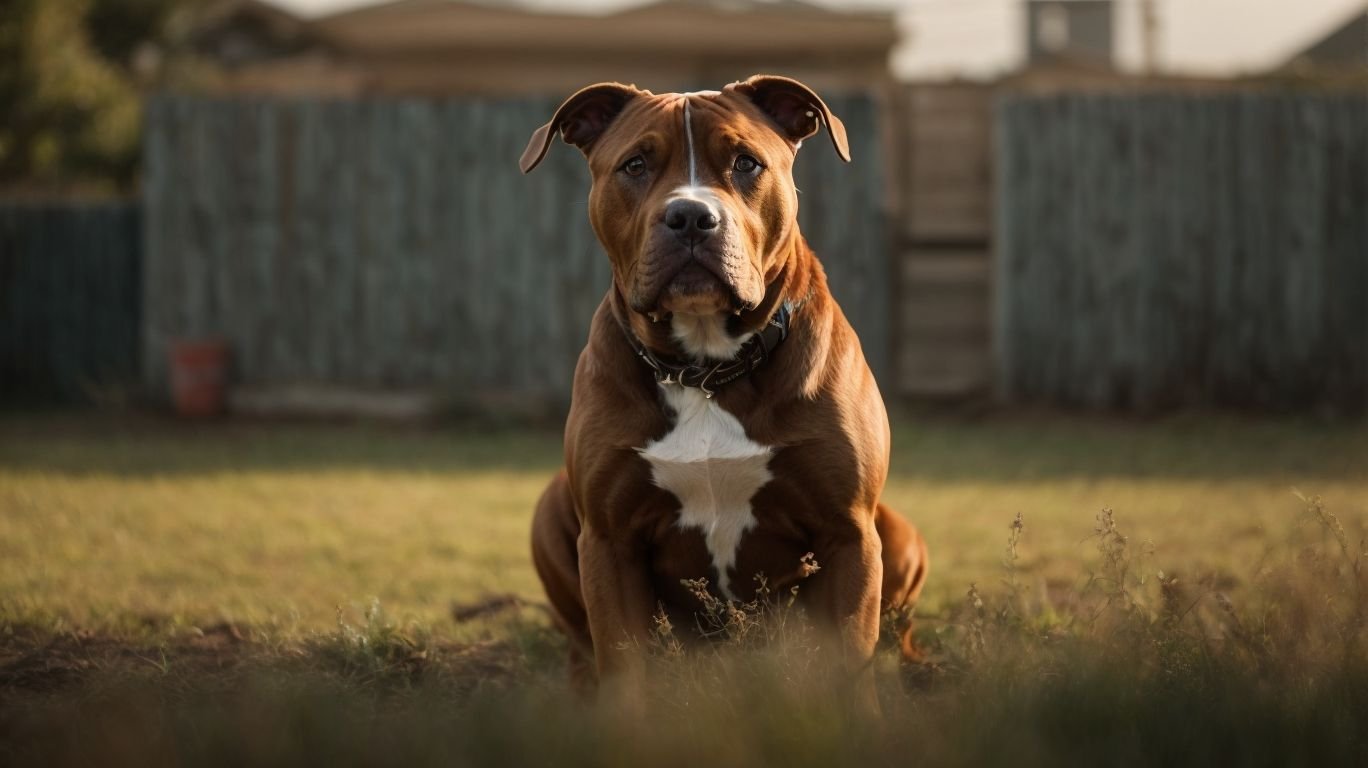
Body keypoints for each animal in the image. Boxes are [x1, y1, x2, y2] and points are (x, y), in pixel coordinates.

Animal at [522, 76, 930, 706]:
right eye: (635, 164)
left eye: (746, 163)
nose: (691, 216)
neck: (706, 369)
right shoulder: (610, 541)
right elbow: (623, 668)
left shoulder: (848, 533)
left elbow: (851, 666)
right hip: (551, 515)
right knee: (581, 648)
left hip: (898, 535)